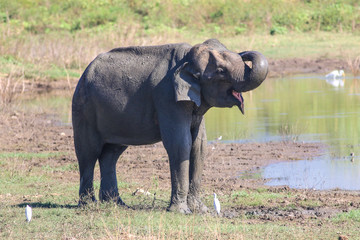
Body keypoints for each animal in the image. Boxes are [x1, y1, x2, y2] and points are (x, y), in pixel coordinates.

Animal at [72, 39, 268, 214]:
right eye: (221, 71)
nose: (244, 53)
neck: (186, 60)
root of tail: (84, 72)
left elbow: (199, 146)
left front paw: (200, 210)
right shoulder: (167, 97)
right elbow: (180, 144)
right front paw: (182, 212)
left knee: (111, 154)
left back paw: (117, 204)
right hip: (84, 108)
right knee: (88, 153)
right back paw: (88, 205)